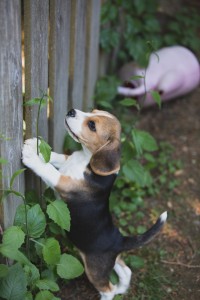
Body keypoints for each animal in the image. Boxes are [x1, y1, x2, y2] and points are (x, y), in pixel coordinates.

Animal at [21, 109, 166, 298]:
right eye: (93, 111)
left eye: (92, 125)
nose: (71, 111)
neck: (85, 158)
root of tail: (119, 240)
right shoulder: (66, 160)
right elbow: (56, 156)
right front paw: (36, 146)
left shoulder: (64, 183)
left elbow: (49, 170)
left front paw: (32, 156)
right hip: (112, 260)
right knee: (126, 271)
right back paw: (122, 288)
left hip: (94, 268)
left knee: (109, 289)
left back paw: (111, 293)